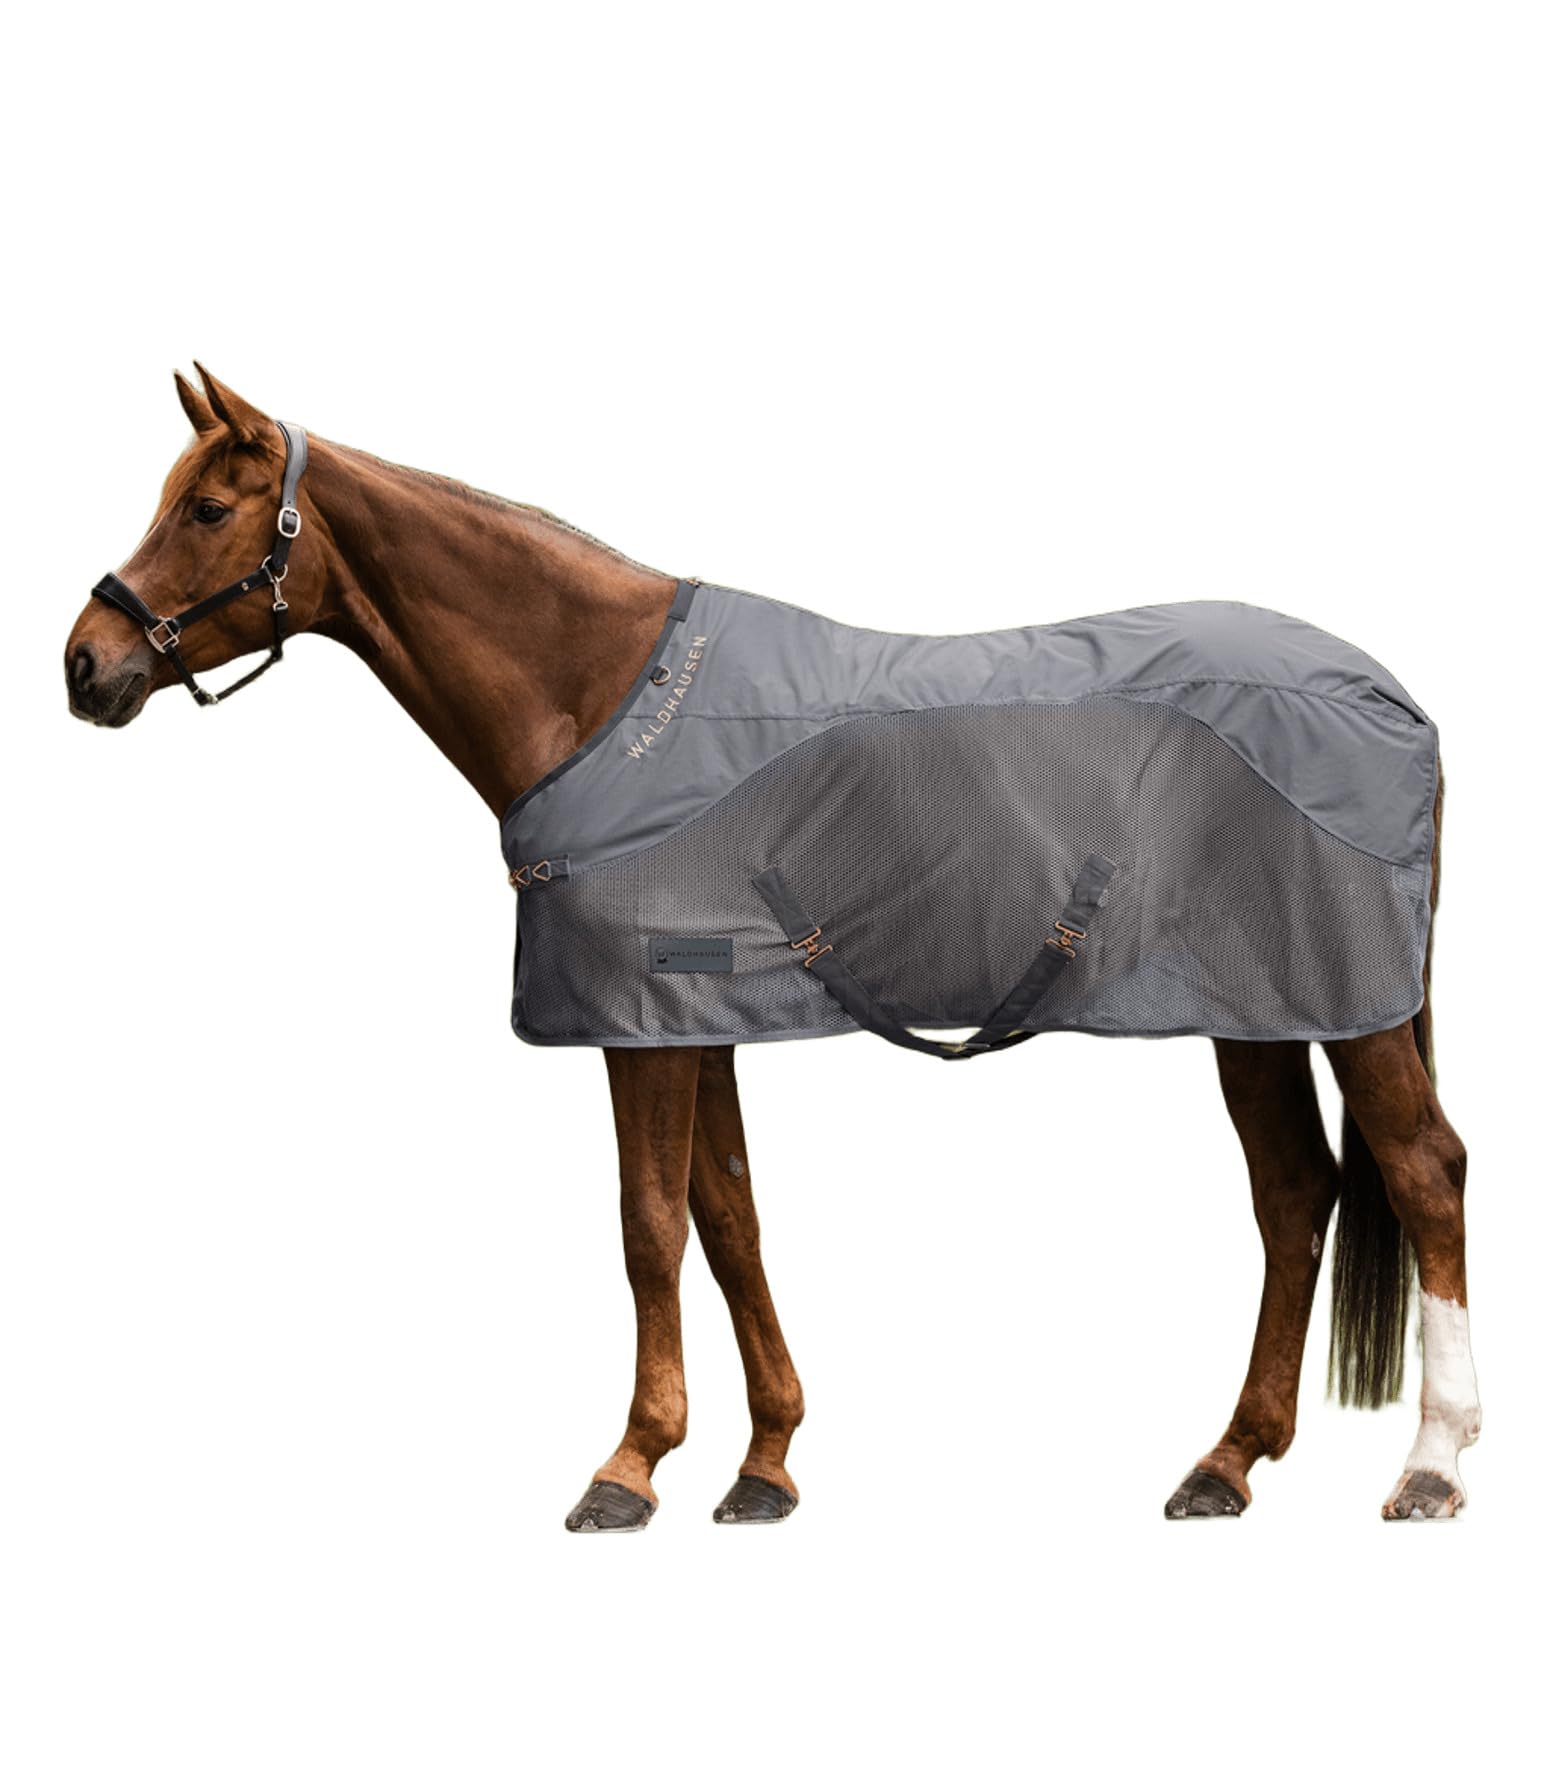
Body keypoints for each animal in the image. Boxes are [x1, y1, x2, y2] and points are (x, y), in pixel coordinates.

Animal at [63, 367, 1480, 1528]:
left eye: (208, 509)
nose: (85, 663)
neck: (599, 697)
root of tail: (1387, 694)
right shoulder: (698, 1019)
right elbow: (729, 1216)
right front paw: (762, 1463)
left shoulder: (639, 1024)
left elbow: (646, 1226)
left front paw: (628, 1467)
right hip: (1255, 1009)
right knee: (1294, 1194)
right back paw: (1224, 1461)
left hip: (1346, 1012)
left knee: (1422, 1174)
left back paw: (1431, 1463)